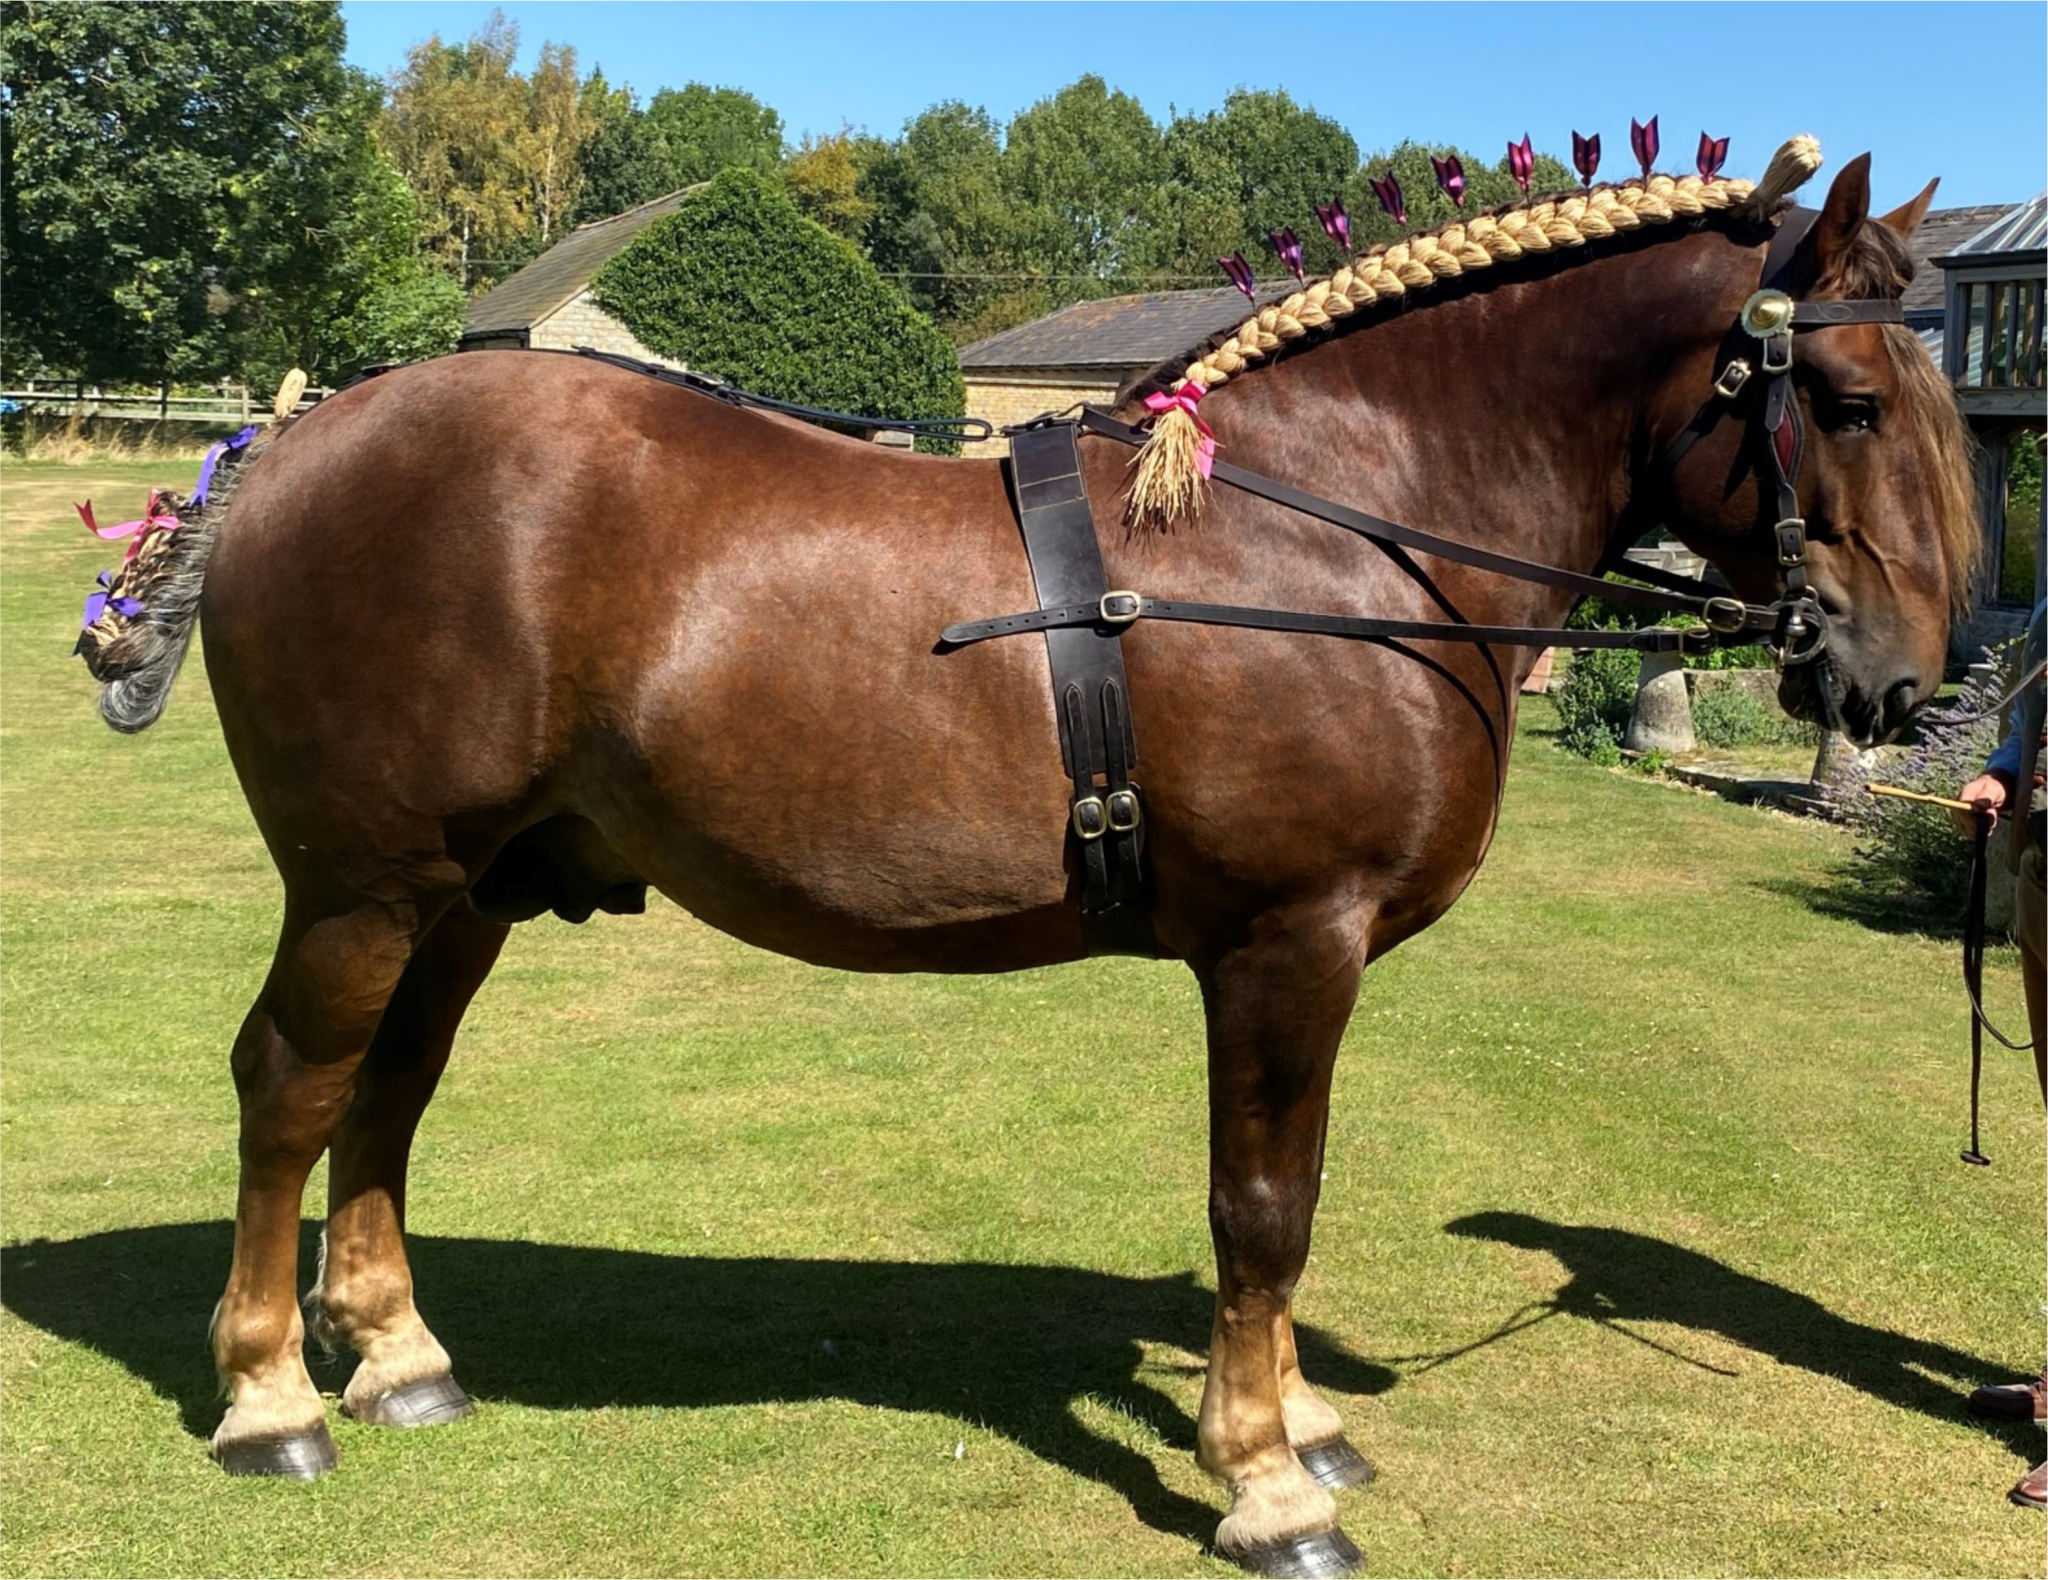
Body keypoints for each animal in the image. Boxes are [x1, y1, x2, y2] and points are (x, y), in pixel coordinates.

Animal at [78, 147, 1976, 1576]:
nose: (1898, 685)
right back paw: (271, 1397)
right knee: (293, 1088)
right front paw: (1265, 1479)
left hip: (464, 894)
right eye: (1849, 400)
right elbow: (1265, 1205)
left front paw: (1298, 1423)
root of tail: (295, 446)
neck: (1338, 532)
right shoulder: (1289, 943)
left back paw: (397, 1356)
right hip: (364, 887)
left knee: (387, 1095)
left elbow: (1281, 1206)